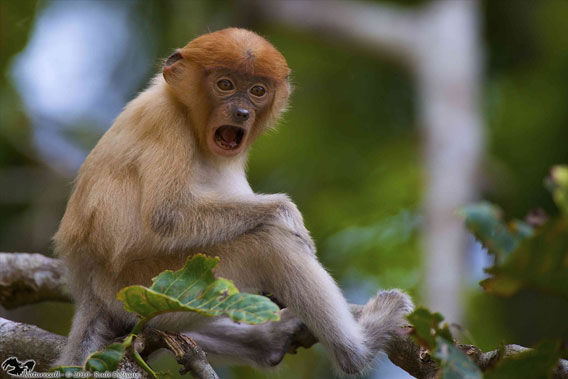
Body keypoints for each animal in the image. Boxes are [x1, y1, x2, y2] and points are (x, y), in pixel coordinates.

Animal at [54, 28, 412, 372]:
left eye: (258, 91)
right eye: (225, 84)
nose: (241, 113)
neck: (187, 112)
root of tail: (89, 288)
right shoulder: (165, 120)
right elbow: (167, 216)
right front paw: (288, 215)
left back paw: (269, 342)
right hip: (150, 283)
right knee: (269, 243)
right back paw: (357, 350)